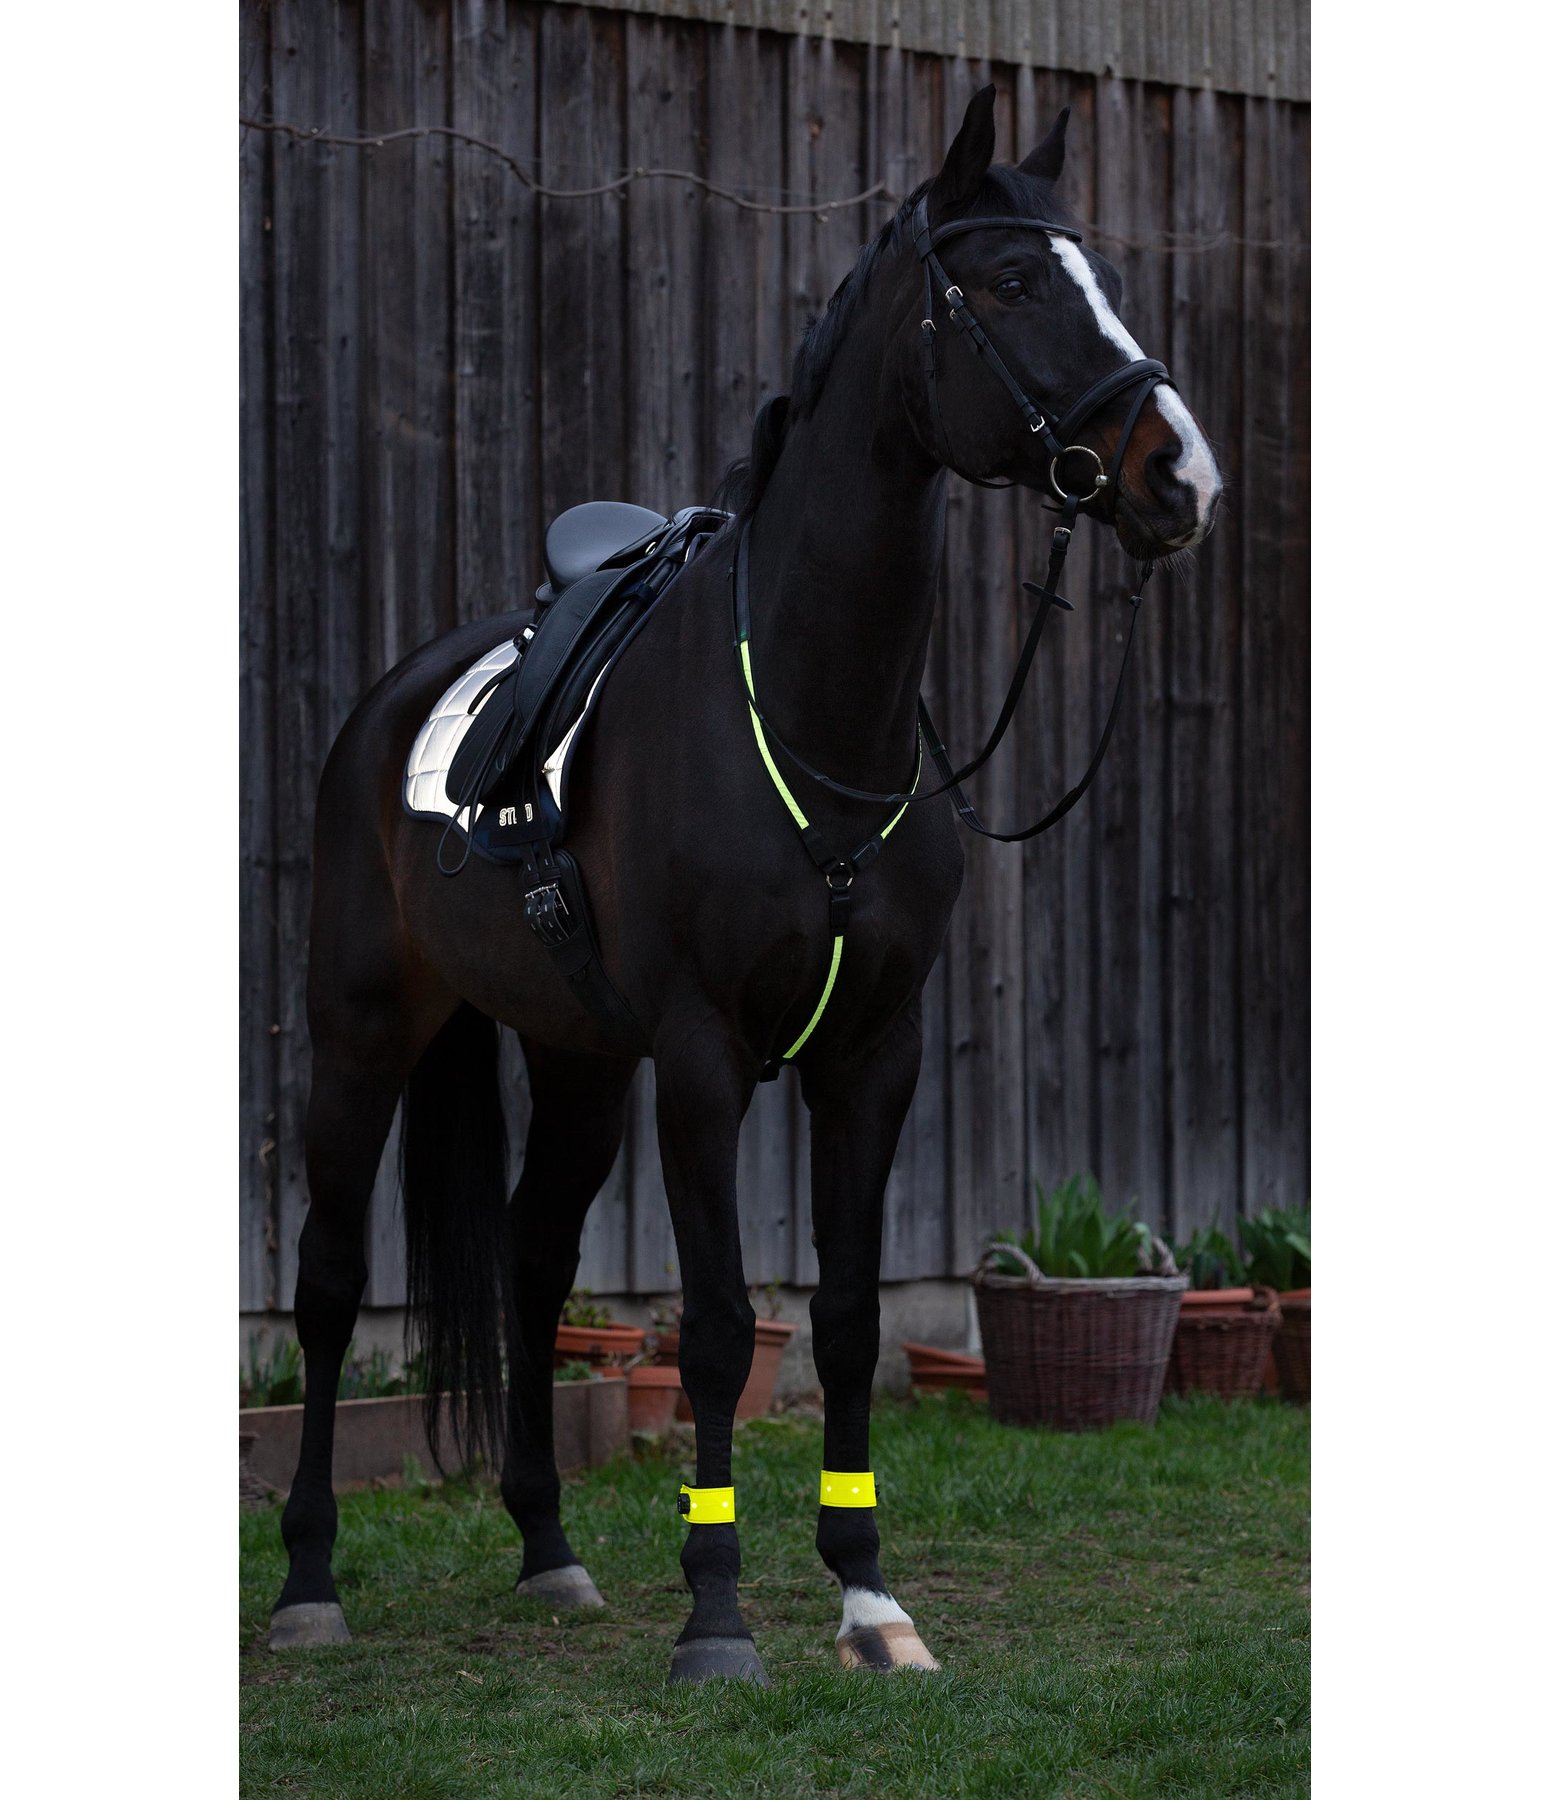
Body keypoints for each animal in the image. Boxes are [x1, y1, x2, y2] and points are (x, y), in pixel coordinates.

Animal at [268, 85, 1222, 1684]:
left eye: (1097, 275)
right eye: (1009, 282)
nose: (1180, 477)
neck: (806, 710)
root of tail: (388, 705)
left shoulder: (870, 1057)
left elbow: (838, 1322)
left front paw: (868, 1600)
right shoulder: (706, 1059)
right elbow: (717, 1327)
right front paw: (715, 1617)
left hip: (579, 1062)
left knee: (532, 1261)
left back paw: (550, 1549)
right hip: (364, 1035)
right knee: (330, 1286)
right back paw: (306, 1580)